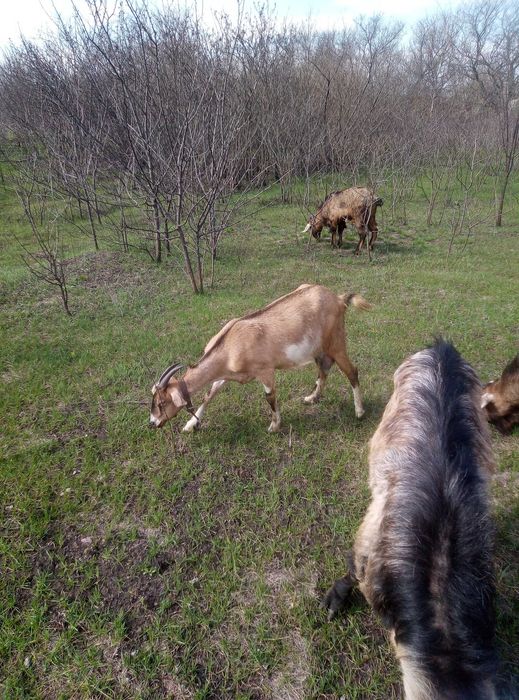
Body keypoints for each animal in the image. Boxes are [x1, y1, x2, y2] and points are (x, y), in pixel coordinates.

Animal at [149, 284, 371, 434]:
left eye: (161, 403)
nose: (152, 422)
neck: (230, 343)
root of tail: (339, 298)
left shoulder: (265, 370)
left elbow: (269, 397)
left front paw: (274, 426)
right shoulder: (226, 374)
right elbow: (209, 394)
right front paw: (190, 425)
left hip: (337, 342)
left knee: (351, 371)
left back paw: (359, 411)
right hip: (319, 349)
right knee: (323, 369)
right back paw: (311, 398)